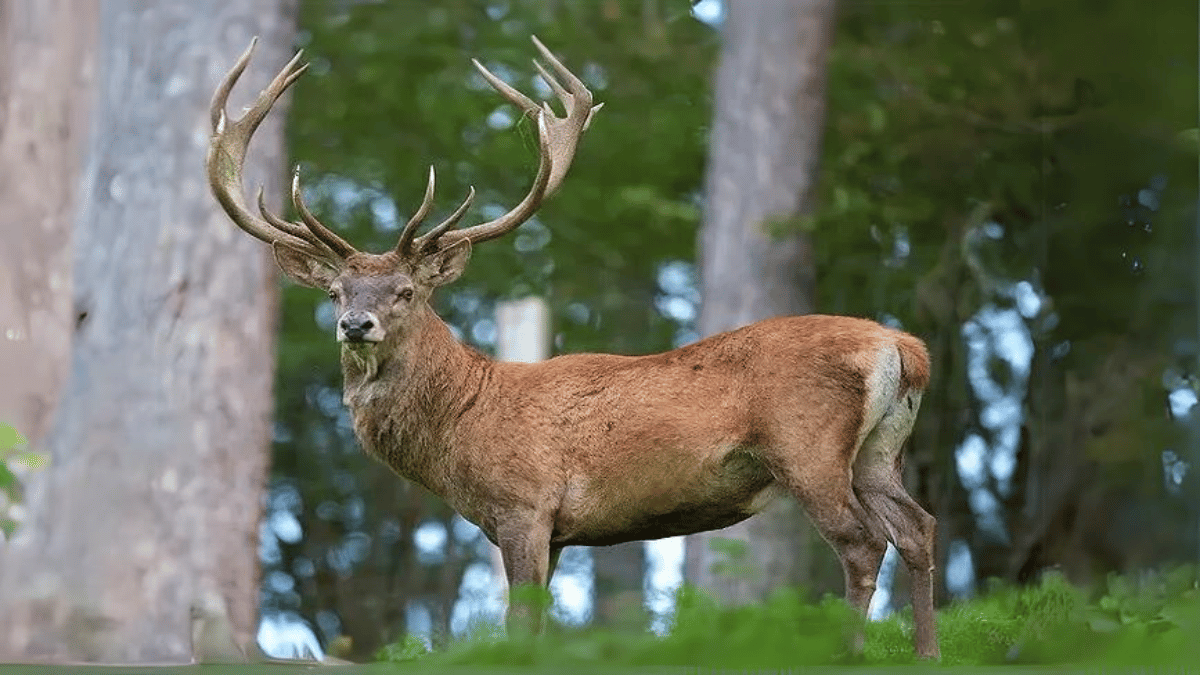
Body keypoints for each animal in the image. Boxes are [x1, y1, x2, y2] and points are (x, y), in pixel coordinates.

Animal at [207, 36, 940, 660]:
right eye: (335, 291)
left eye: (406, 291)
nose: (355, 324)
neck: (462, 423)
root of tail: (904, 346)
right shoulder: (556, 530)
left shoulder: (524, 506)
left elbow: (520, 624)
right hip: (878, 451)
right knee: (917, 527)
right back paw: (928, 653)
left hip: (807, 444)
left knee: (862, 542)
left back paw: (851, 653)